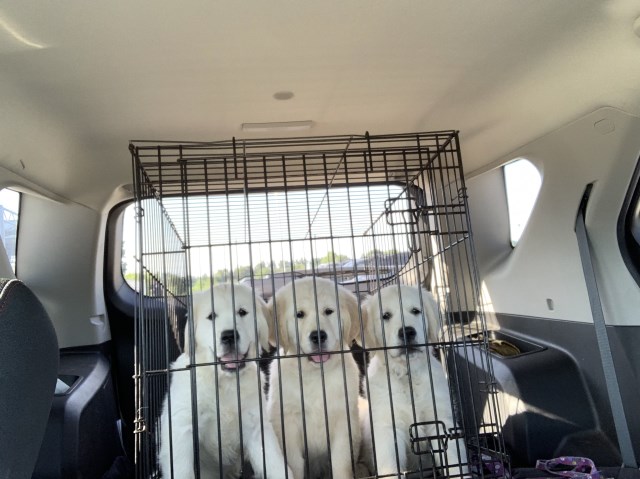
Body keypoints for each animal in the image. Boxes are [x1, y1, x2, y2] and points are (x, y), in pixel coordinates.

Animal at [159, 284, 294, 479]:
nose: (229, 336)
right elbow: (182, 470)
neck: (225, 382)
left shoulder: (256, 425)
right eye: (211, 316)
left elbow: (275, 464)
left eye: (242, 312)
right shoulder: (181, 427)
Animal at [268, 278, 362, 479]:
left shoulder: (344, 419)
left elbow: (341, 461)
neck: (315, 374)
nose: (318, 336)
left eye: (328, 311)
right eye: (299, 314)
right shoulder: (288, 422)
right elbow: (295, 463)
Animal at [360, 286, 470, 478]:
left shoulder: (441, 421)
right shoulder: (387, 428)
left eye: (415, 311)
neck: (407, 375)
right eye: (385, 316)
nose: (407, 331)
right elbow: (390, 468)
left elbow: (455, 462)